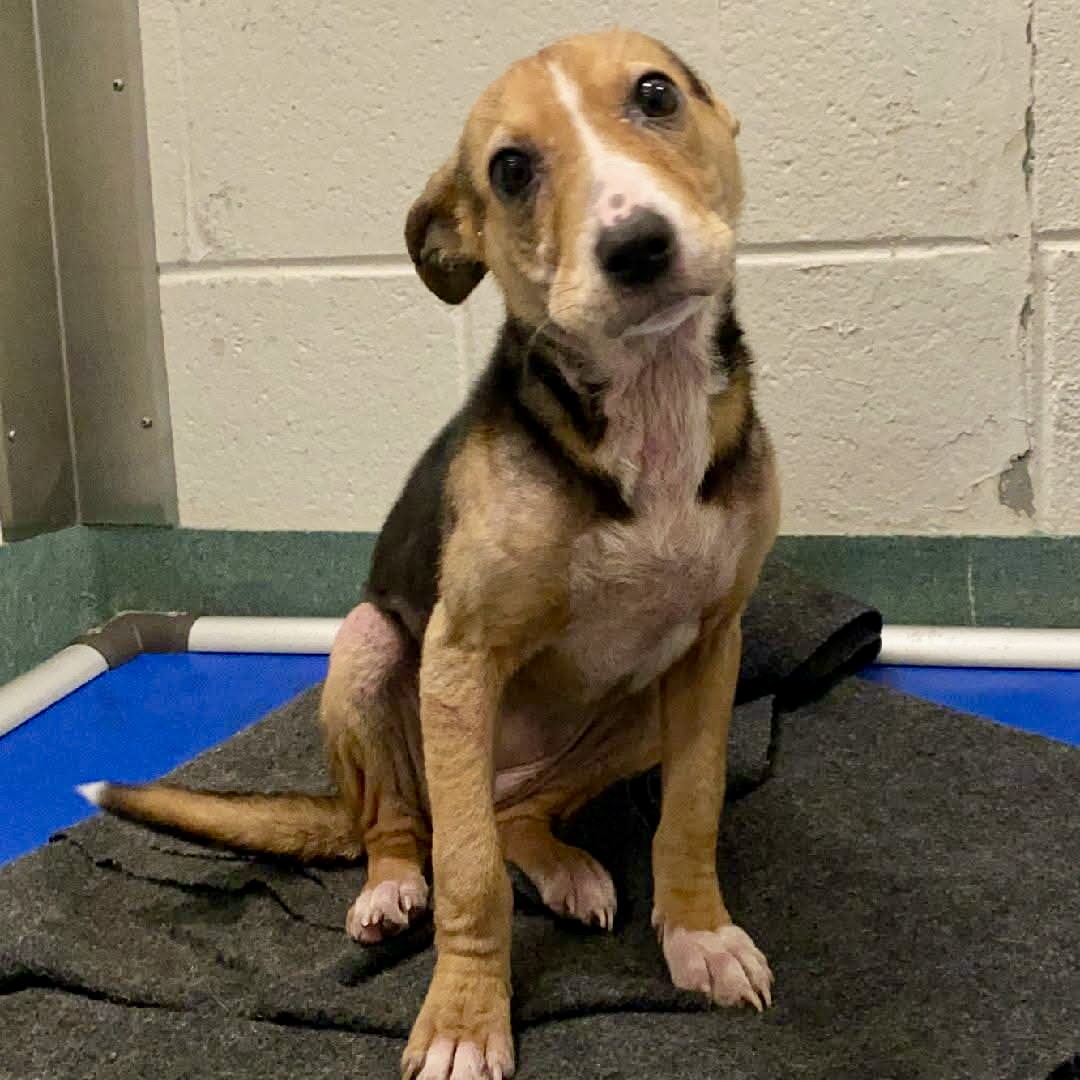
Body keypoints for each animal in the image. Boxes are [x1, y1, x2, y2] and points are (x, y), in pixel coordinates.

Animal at [79, 29, 780, 1079]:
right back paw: (389, 887)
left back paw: (563, 865)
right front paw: (463, 1019)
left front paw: (700, 937)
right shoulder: (460, 652)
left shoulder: (710, 647)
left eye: (656, 94)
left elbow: (691, 813)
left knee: (520, 818)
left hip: (633, 719)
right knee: (409, 827)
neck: (646, 405)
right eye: (511, 169)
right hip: (370, 652)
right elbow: (470, 876)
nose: (637, 248)